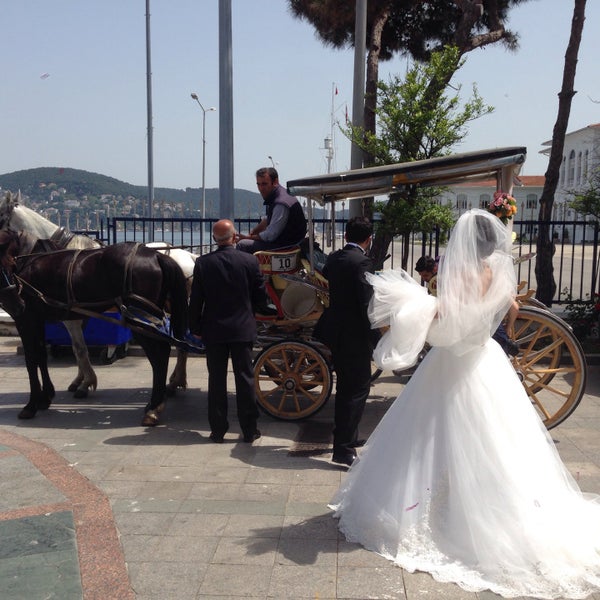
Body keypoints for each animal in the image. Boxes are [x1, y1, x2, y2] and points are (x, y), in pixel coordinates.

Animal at [0, 192, 197, 398]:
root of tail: (189, 256)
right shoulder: (76, 314)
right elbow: (78, 347)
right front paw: (79, 380)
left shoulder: (69, 316)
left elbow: (80, 349)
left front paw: (85, 383)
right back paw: (176, 380)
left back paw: (174, 382)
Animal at [0, 239, 188, 422]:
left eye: (8, 267)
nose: (17, 305)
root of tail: (157, 256)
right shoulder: (37, 319)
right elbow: (41, 356)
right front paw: (45, 397)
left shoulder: (26, 320)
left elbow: (32, 360)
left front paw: (31, 405)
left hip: (140, 318)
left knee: (160, 355)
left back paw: (155, 406)